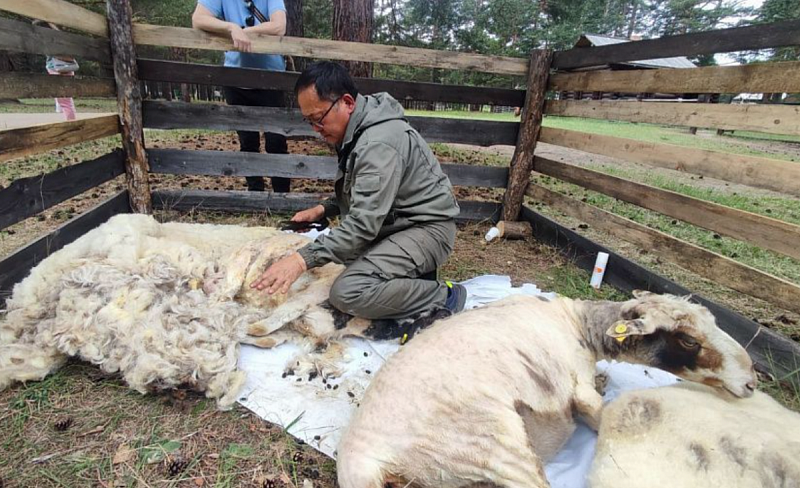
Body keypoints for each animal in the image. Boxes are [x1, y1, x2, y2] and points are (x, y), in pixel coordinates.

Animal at [336, 292, 756, 486]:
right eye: (687, 340)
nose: (751, 382)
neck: (580, 324)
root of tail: (362, 463)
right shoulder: (578, 388)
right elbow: (598, 410)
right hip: (491, 445)